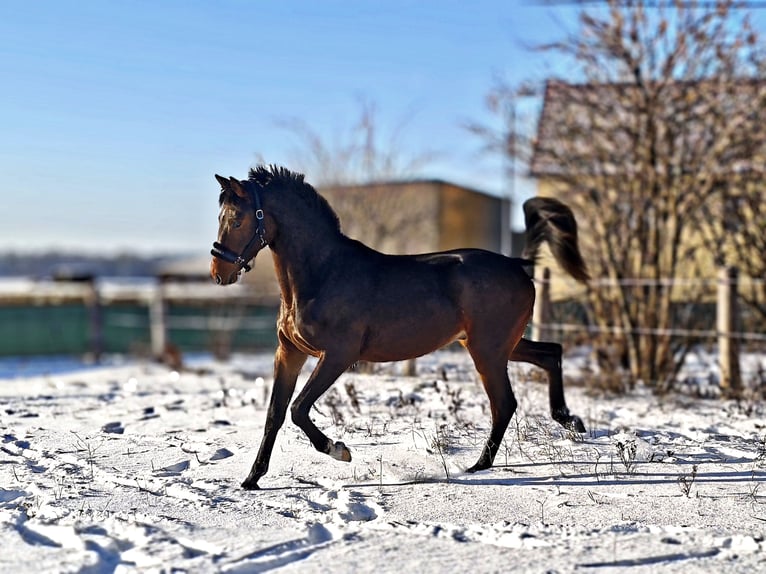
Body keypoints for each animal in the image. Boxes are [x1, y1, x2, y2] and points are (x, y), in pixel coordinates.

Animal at [210, 165, 589, 490]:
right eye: (221, 217)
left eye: (238, 219)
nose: (218, 273)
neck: (323, 273)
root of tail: (516, 264)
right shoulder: (289, 352)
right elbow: (275, 414)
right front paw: (251, 479)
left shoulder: (337, 356)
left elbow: (298, 409)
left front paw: (339, 450)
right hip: (498, 344)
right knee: (550, 354)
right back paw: (569, 420)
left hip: (488, 351)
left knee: (505, 403)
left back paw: (480, 465)